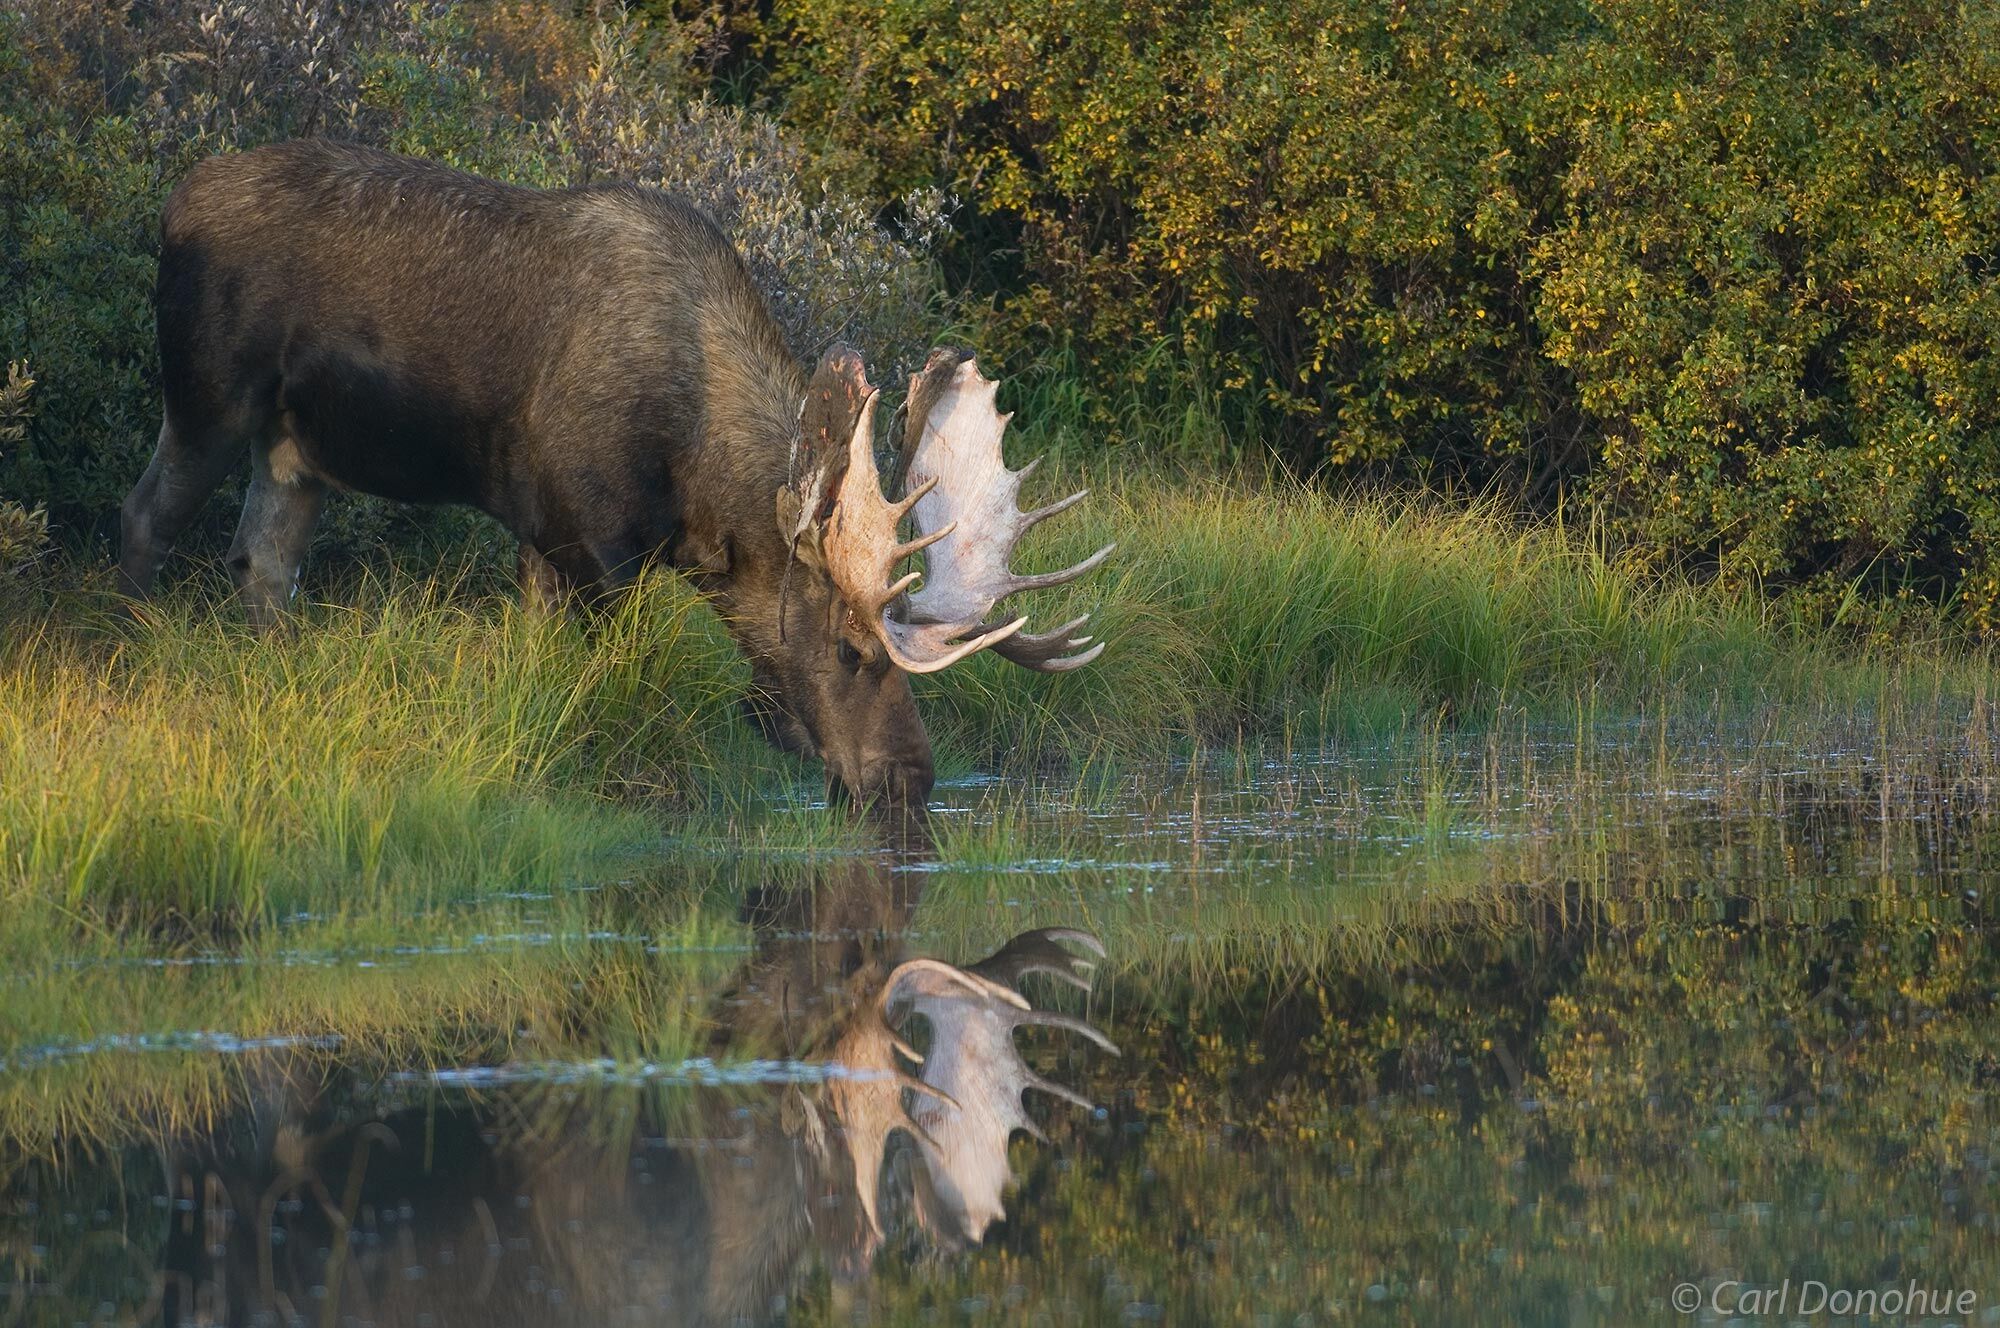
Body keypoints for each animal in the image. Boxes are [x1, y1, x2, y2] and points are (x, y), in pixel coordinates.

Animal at [113, 145, 1112, 808]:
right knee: (144, 517)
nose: (911, 777)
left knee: (261, 562)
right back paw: (124, 651)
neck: (700, 490)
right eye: (848, 649)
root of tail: (171, 206)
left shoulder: (545, 541)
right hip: (207, 394)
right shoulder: (584, 537)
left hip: (295, 449)